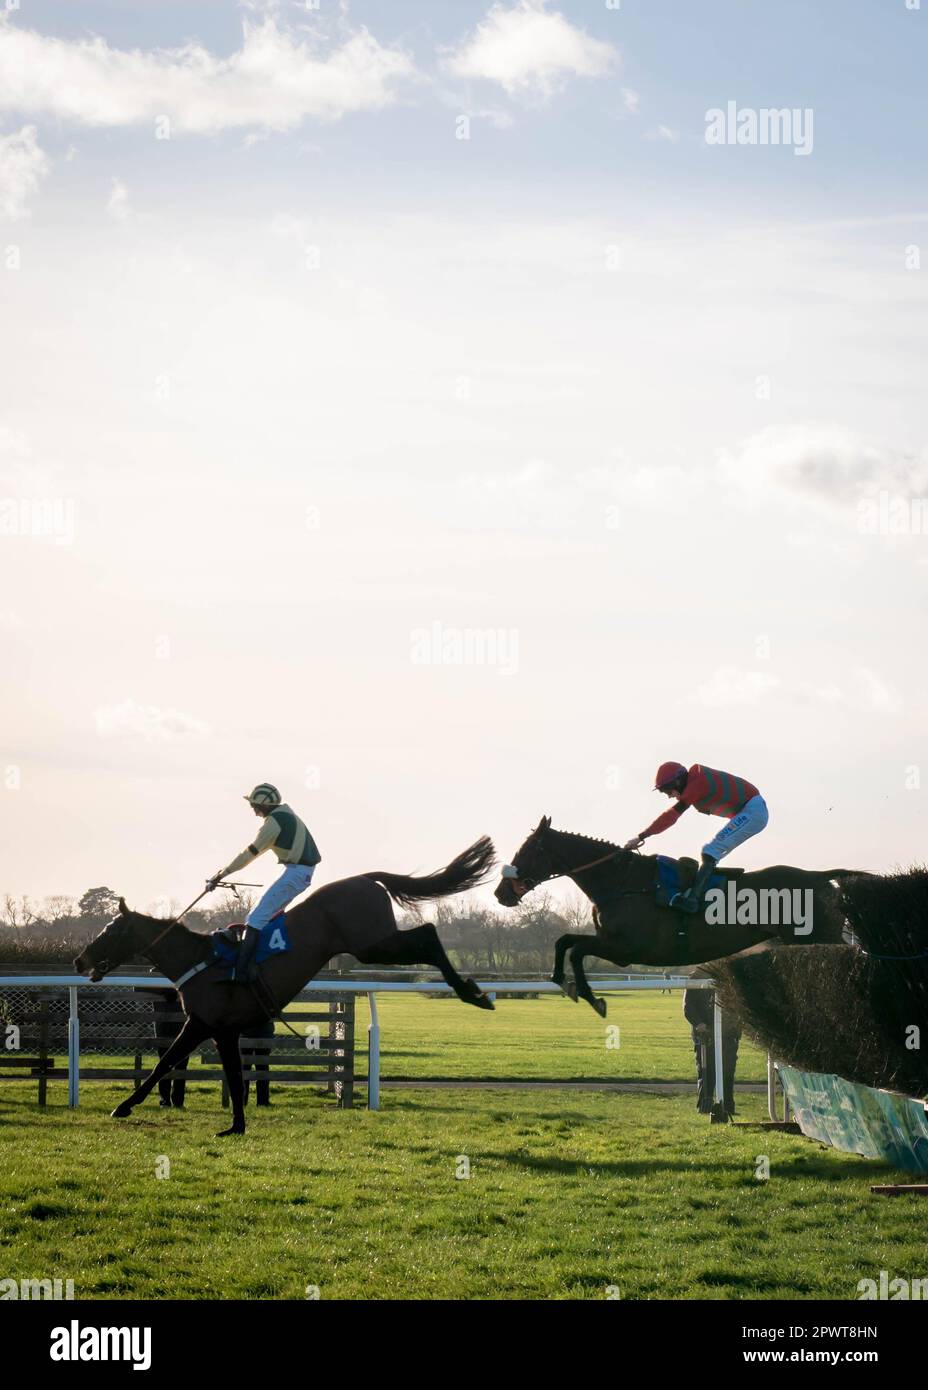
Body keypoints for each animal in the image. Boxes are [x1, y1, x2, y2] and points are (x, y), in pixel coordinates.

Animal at [73, 834, 497, 1128]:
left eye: (110, 930)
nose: (80, 960)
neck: (200, 961)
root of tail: (364, 878)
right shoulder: (223, 1030)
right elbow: (232, 1075)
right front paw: (236, 1125)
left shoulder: (203, 1024)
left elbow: (166, 1063)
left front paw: (124, 1106)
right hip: (373, 942)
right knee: (426, 933)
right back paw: (472, 991)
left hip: (371, 944)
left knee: (427, 932)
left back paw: (472, 993)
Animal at [497, 817, 866, 1017]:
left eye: (527, 850)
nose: (501, 893)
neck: (623, 882)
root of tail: (820, 877)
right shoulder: (609, 941)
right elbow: (565, 942)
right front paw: (563, 981)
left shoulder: (626, 950)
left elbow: (576, 950)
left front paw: (590, 996)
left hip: (819, 937)